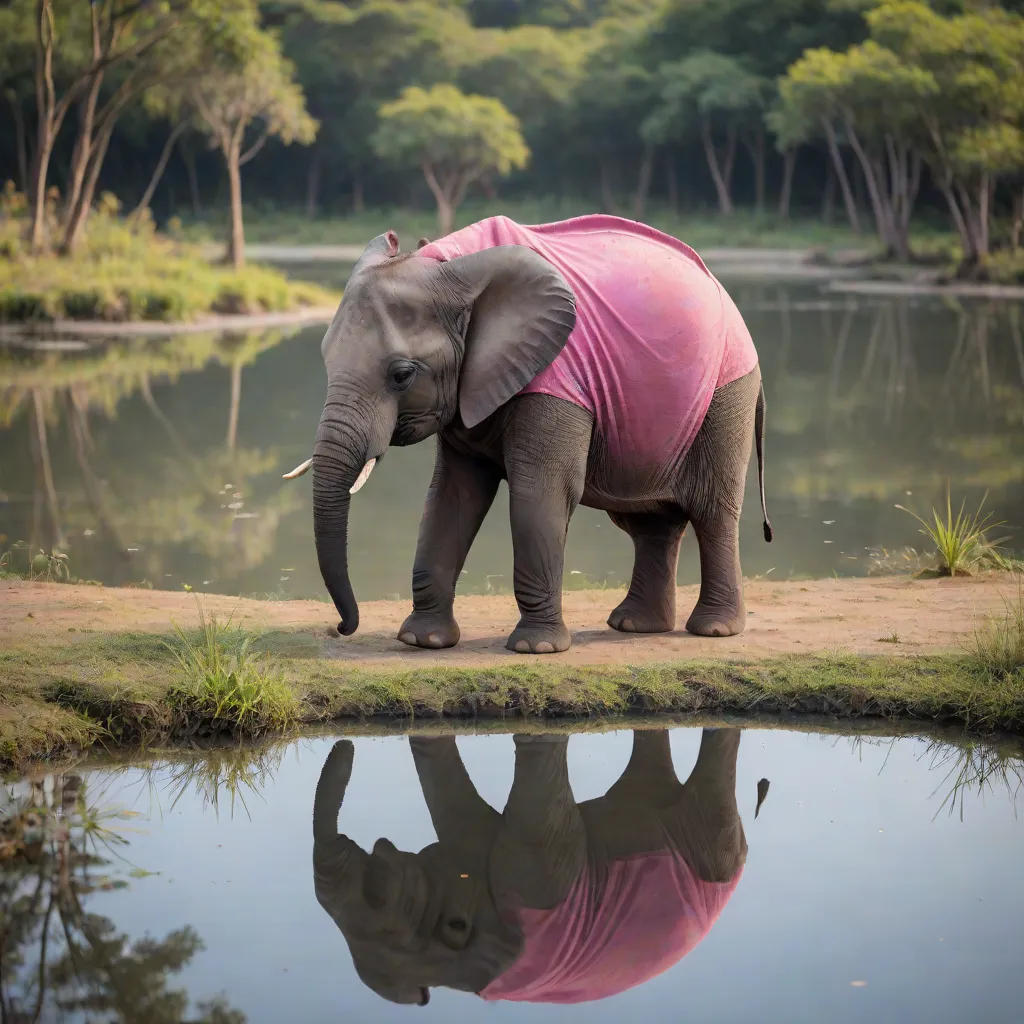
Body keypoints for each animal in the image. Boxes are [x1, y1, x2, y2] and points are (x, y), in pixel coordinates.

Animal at [286, 214, 772, 653]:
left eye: (402, 375)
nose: (341, 628)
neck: (454, 265)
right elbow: (452, 494)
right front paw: (423, 641)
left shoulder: (555, 373)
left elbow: (540, 492)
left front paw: (535, 648)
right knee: (648, 522)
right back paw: (635, 626)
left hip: (727, 391)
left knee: (711, 511)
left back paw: (713, 630)